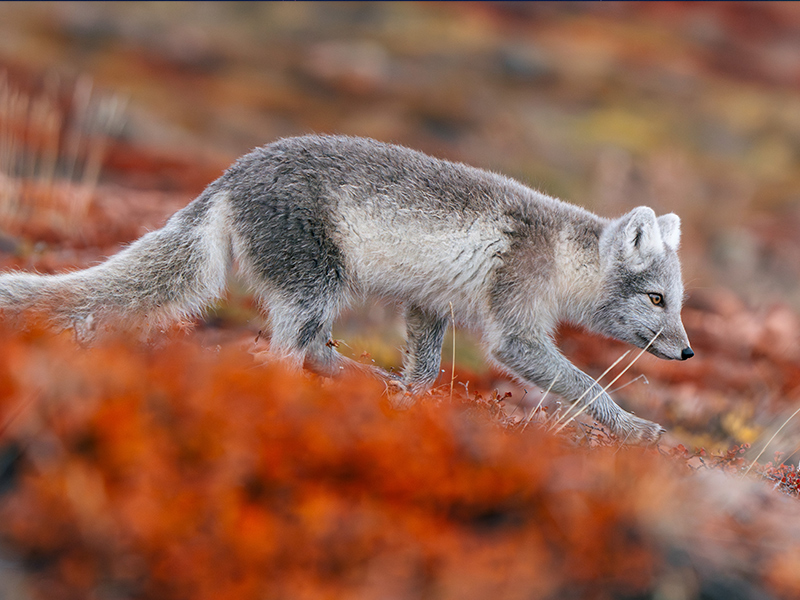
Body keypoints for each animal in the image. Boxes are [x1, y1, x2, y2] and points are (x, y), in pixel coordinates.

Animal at [0, 135, 692, 444]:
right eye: (655, 300)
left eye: (678, 304)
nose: (687, 352)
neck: (558, 254)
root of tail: (229, 176)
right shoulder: (515, 332)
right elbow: (586, 384)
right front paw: (634, 425)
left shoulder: (428, 304)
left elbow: (424, 369)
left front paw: (409, 403)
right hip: (316, 285)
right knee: (287, 352)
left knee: (308, 349)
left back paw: (367, 384)